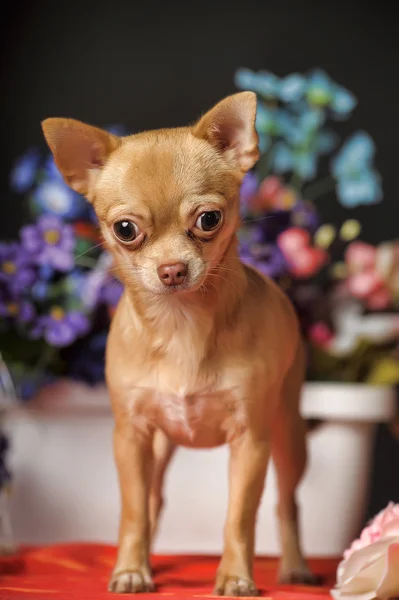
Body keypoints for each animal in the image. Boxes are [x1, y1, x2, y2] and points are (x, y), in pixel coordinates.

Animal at [43, 94, 318, 596]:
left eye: (209, 219)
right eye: (125, 229)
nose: (171, 270)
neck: (179, 325)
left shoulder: (251, 442)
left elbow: (240, 516)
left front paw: (236, 576)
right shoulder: (131, 437)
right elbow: (133, 511)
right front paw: (131, 570)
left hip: (288, 435)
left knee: (287, 503)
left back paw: (294, 567)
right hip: (158, 445)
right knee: (152, 500)